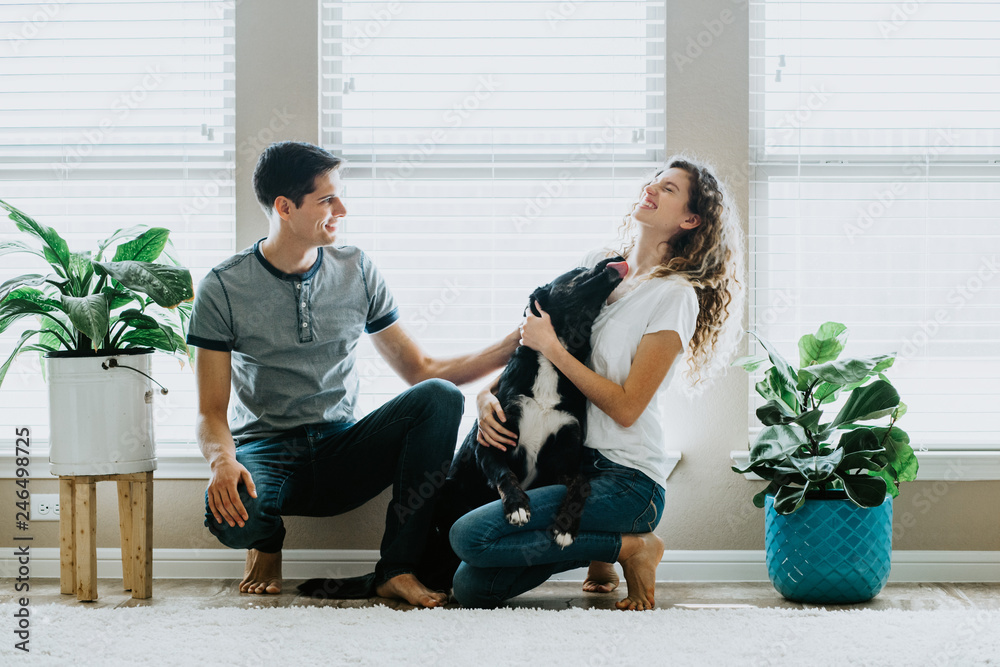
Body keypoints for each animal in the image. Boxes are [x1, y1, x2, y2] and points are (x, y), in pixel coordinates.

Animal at [296, 258, 624, 600]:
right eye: (578, 269)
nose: (613, 256)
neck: (554, 360)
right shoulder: (490, 442)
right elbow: (505, 475)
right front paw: (517, 507)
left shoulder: (564, 458)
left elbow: (582, 484)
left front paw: (565, 528)